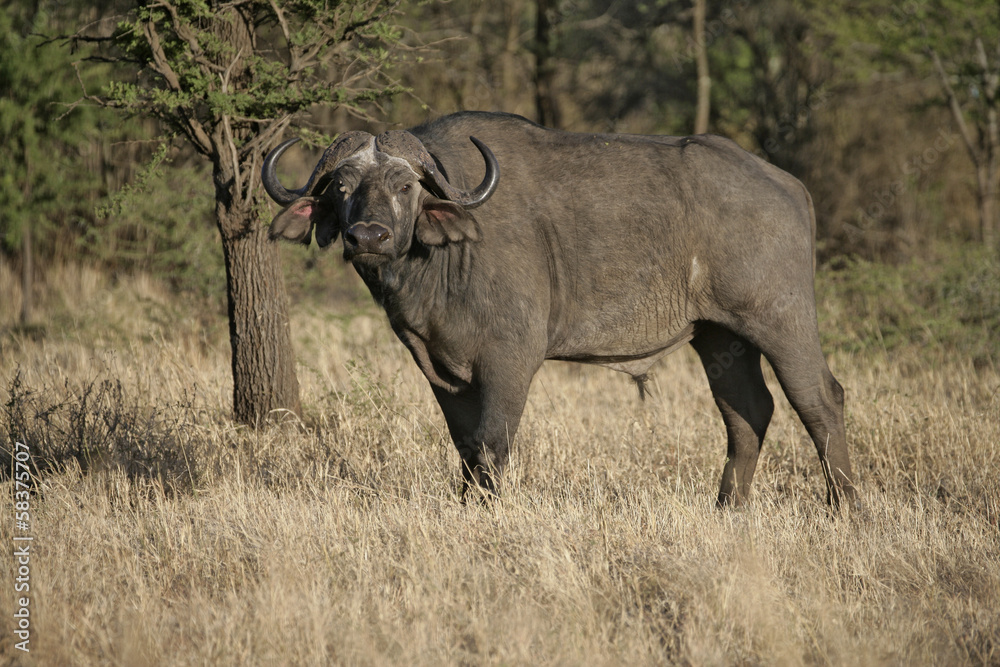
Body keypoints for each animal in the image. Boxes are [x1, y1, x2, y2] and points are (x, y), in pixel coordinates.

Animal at [262, 111, 857, 507]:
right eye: (342, 187)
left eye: (405, 185)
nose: (368, 235)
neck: (440, 263)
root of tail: (789, 184)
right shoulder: (441, 370)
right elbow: (464, 444)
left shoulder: (510, 360)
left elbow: (493, 441)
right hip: (718, 335)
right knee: (747, 410)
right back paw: (728, 507)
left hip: (780, 320)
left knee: (819, 399)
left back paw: (844, 505)